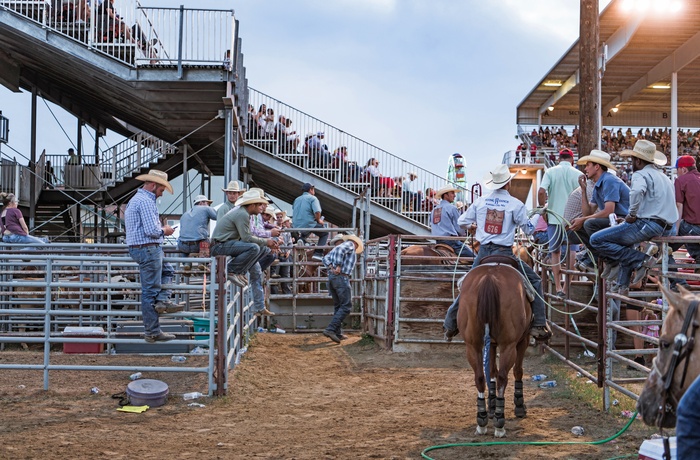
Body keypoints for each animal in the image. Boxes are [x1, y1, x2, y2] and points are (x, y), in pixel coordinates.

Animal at [460, 256, 532, 436]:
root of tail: (489, 277)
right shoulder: (523, 339)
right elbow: (517, 371)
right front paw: (519, 406)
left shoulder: (491, 343)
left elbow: (491, 370)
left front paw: (491, 407)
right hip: (508, 345)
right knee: (502, 377)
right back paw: (500, 422)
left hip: (472, 345)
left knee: (480, 376)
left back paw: (482, 420)